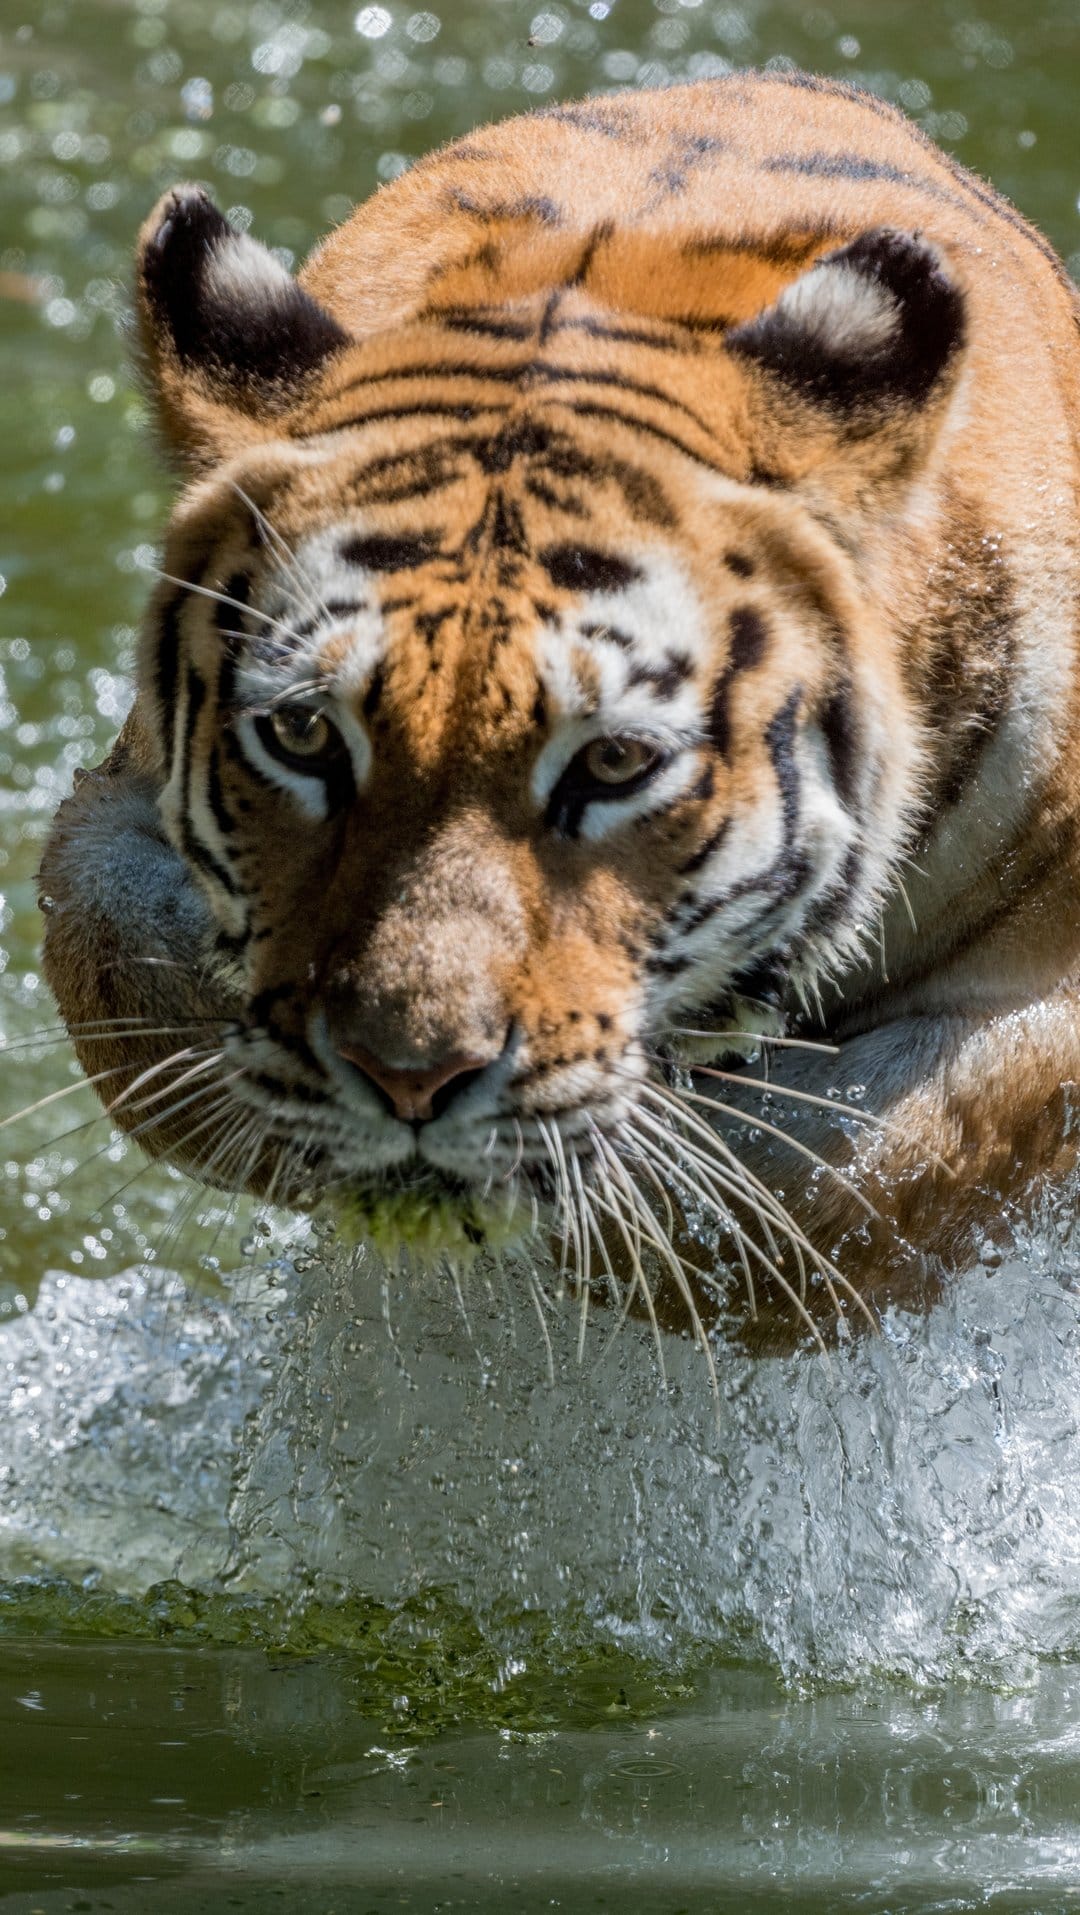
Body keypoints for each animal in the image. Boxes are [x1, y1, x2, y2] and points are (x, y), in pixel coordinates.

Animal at [36, 68, 1080, 1357]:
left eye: (616, 763)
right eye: (304, 736)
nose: (410, 1078)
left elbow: (843, 1187)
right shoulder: (113, 812)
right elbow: (129, 981)